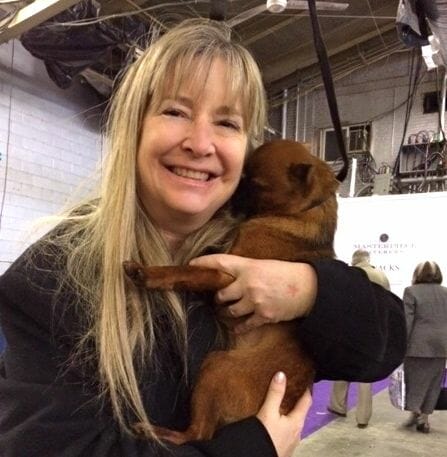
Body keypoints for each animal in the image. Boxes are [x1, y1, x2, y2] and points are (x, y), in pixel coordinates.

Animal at [122, 138, 340, 442]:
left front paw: (148, 273)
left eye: (255, 184)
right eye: (241, 175)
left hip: (216, 366)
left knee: (196, 435)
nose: (230, 196)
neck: (301, 213)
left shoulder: (227, 274)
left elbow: (186, 271)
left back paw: (157, 431)